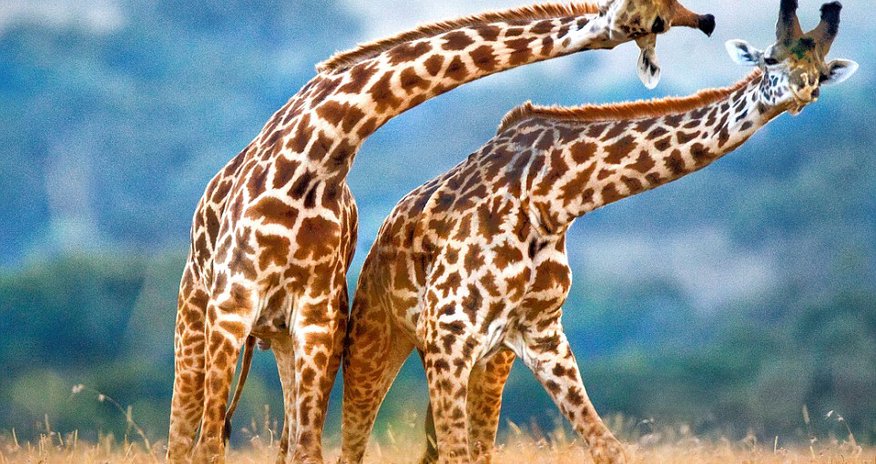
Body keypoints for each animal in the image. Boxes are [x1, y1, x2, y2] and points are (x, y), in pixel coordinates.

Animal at [166, 1, 717, 463]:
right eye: (655, 17)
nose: (706, 20)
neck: (318, 156)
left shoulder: (317, 317)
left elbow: (306, 448)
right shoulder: (233, 303)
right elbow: (207, 446)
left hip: (287, 336)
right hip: (200, 317)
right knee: (185, 434)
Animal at [340, 2, 858, 463]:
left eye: (821, 71)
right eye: (770, 59)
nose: (803, 92)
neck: (553, 198)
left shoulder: (540, 334)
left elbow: (609, 447)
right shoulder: (449, 333)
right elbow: (455, 454)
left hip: (488, 360)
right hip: (377, 335)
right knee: (351, 440)